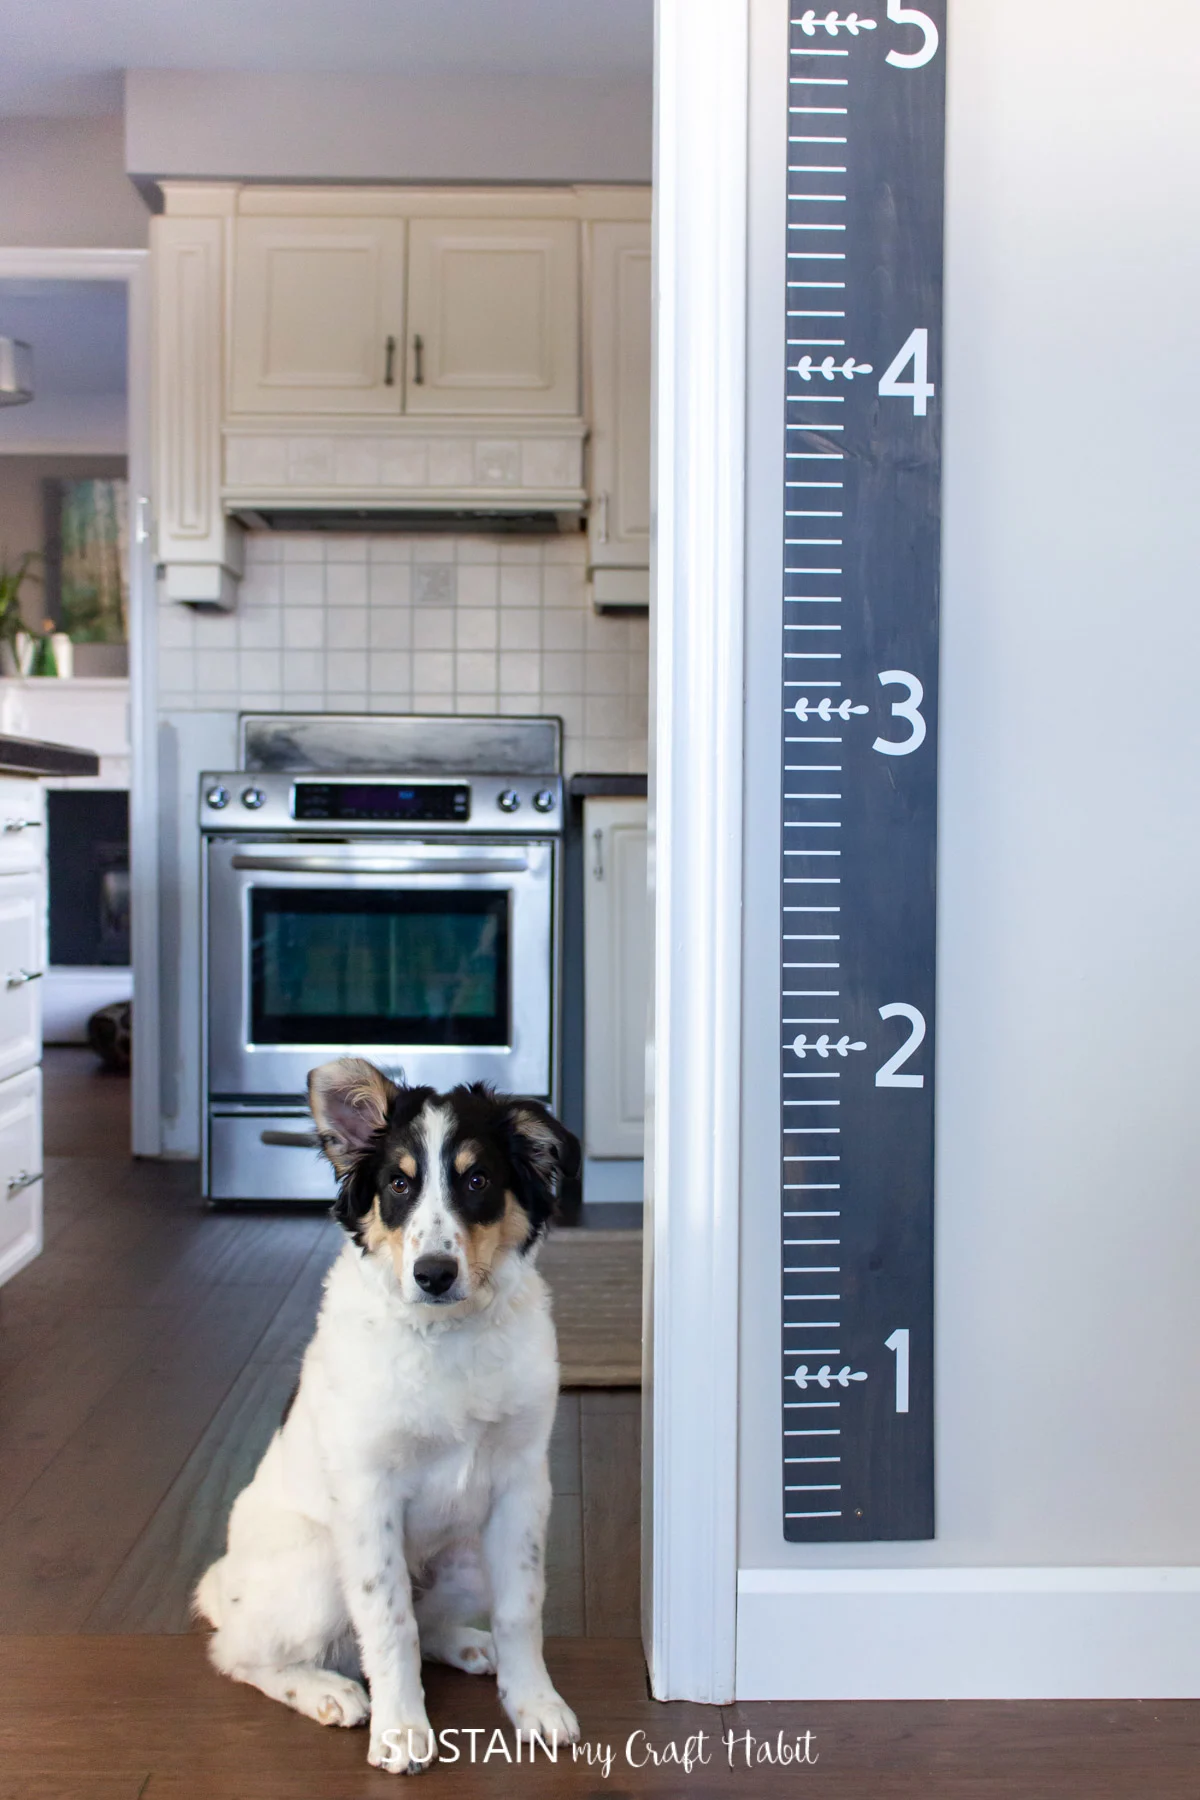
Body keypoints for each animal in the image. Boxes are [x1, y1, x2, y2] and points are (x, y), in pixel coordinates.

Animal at [196, 1051, 582, 1771]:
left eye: (478, 1179)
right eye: (399, 1185)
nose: (433, 1274)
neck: (448, 1337)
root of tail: (224, 1584)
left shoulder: (522, 1486)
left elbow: (522, 1607)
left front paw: (535, 1705)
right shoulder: (367, 1495)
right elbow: (389, 1620)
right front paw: (402, 1729)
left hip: (465, 1556)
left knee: (429, 1621)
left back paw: (468, 1643)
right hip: (320, 1566)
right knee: (238, 1652)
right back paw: (329, 1691)